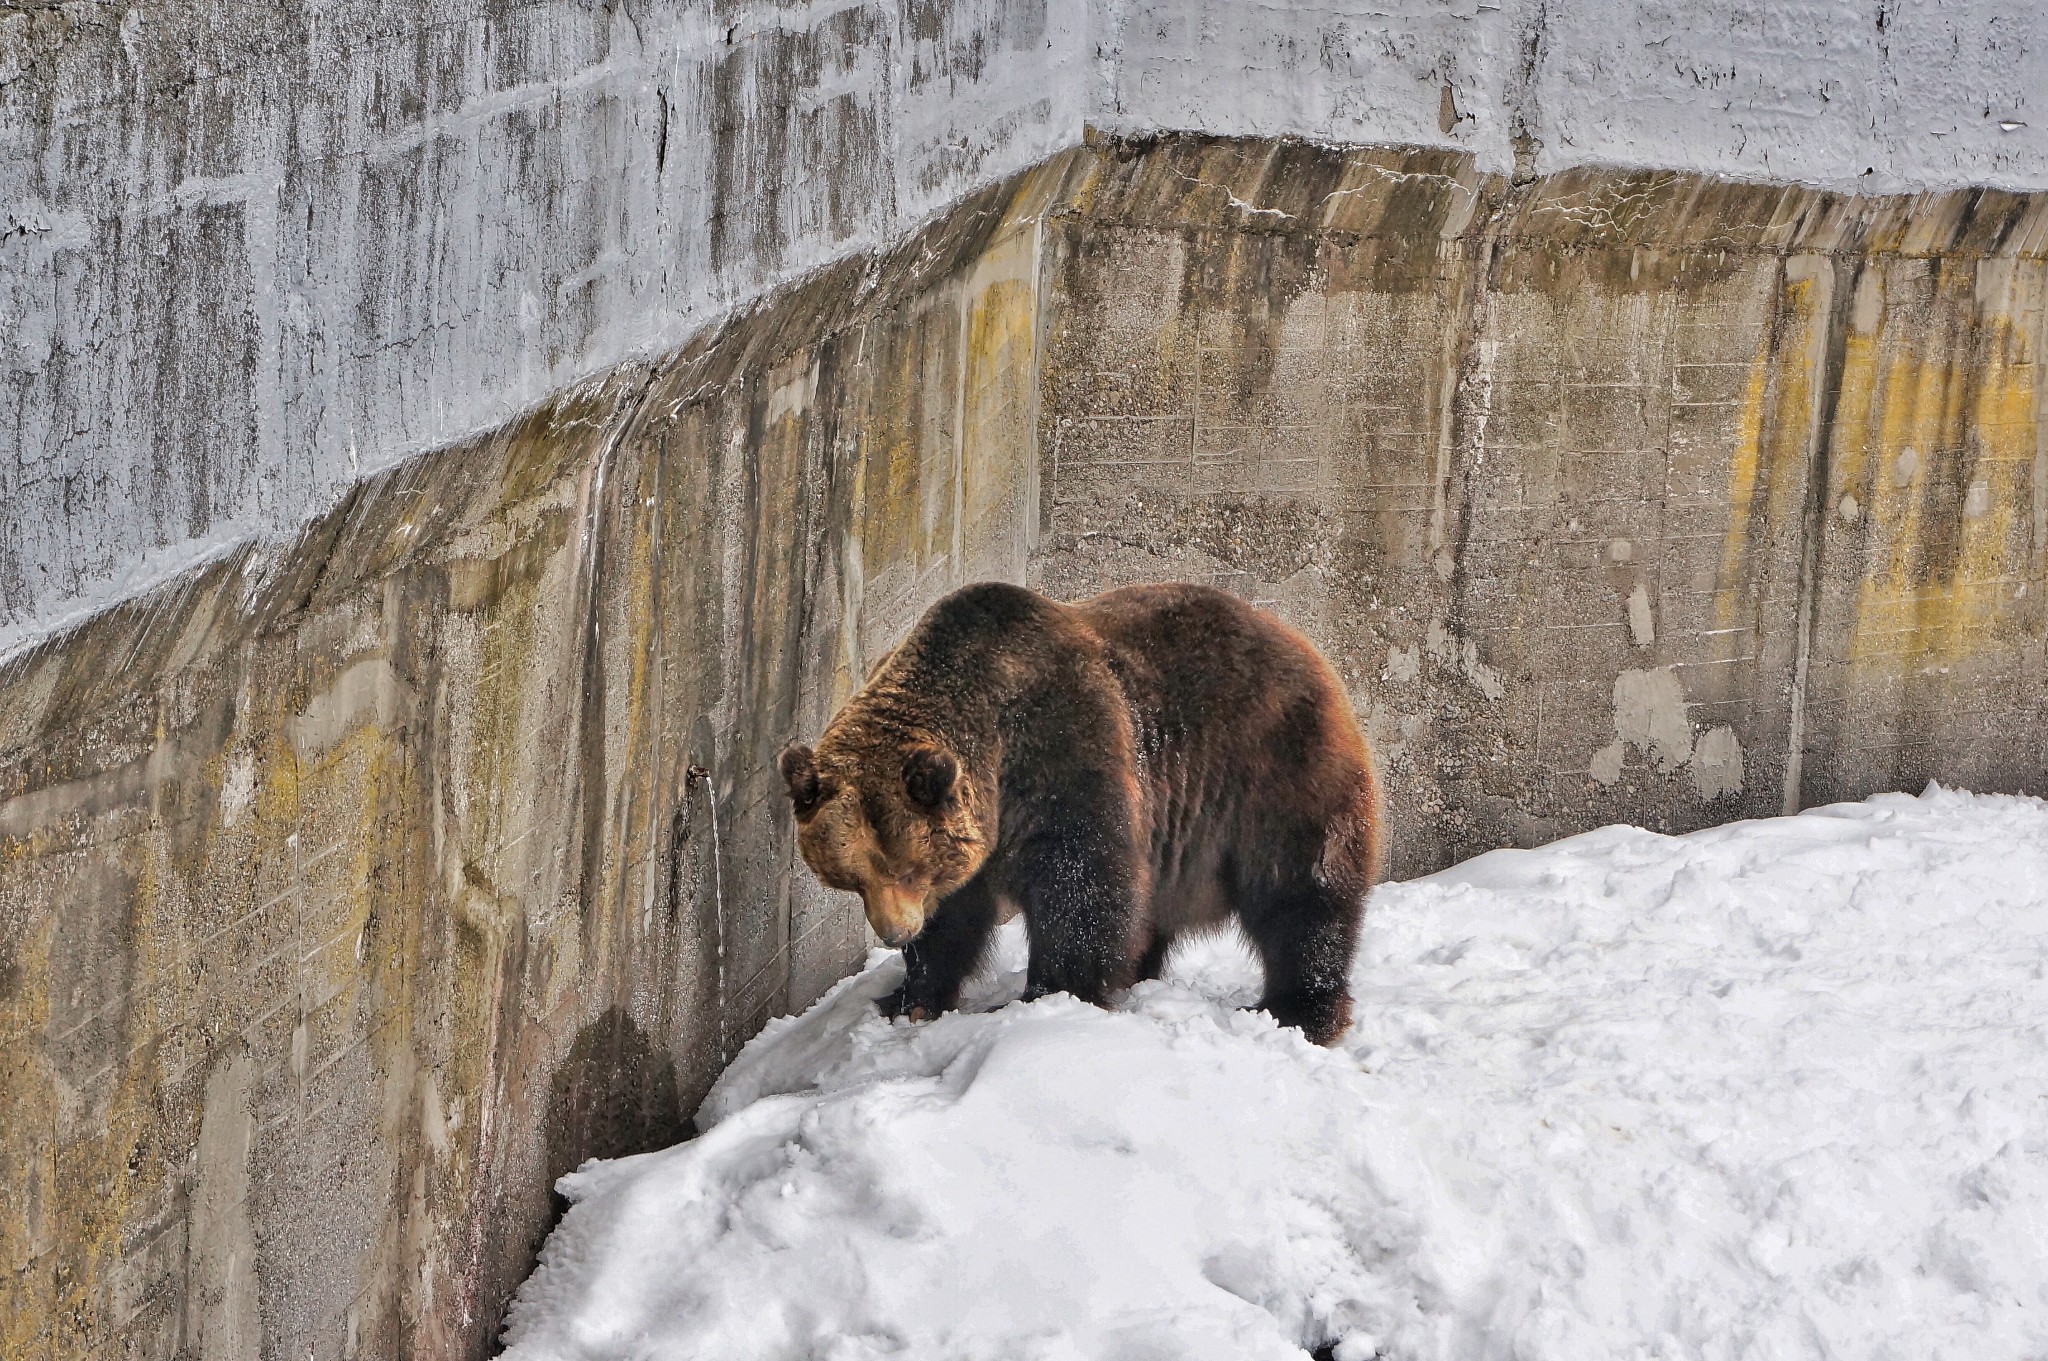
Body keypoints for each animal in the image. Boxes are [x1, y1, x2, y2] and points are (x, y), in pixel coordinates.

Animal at [774, 581, 1384, 1039]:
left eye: (907, 868)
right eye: (852, 876)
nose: (895, 933)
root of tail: (1300, 641)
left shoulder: (1063, 753)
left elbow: (1082, 885)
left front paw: (1048, 997)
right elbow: (957, 917)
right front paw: (909, 997)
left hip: (1275, 771)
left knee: (1300, 894)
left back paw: (1298, 1009)